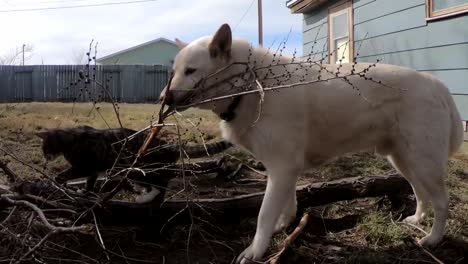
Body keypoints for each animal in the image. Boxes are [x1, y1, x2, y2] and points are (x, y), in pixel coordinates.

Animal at [160, 23, 464, 262]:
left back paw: (433, 239)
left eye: (190, 71)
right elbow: (287, 205)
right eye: (174, 71)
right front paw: (283, 226)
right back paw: (416, 220)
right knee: (420, 192)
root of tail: (434, 82)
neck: (251, 85)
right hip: (404, 161)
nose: (164, 98)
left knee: (441, 201)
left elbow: (263, 216)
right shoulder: (283, 171)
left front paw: (255, 251)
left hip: (423, 162)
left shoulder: (282, 168)